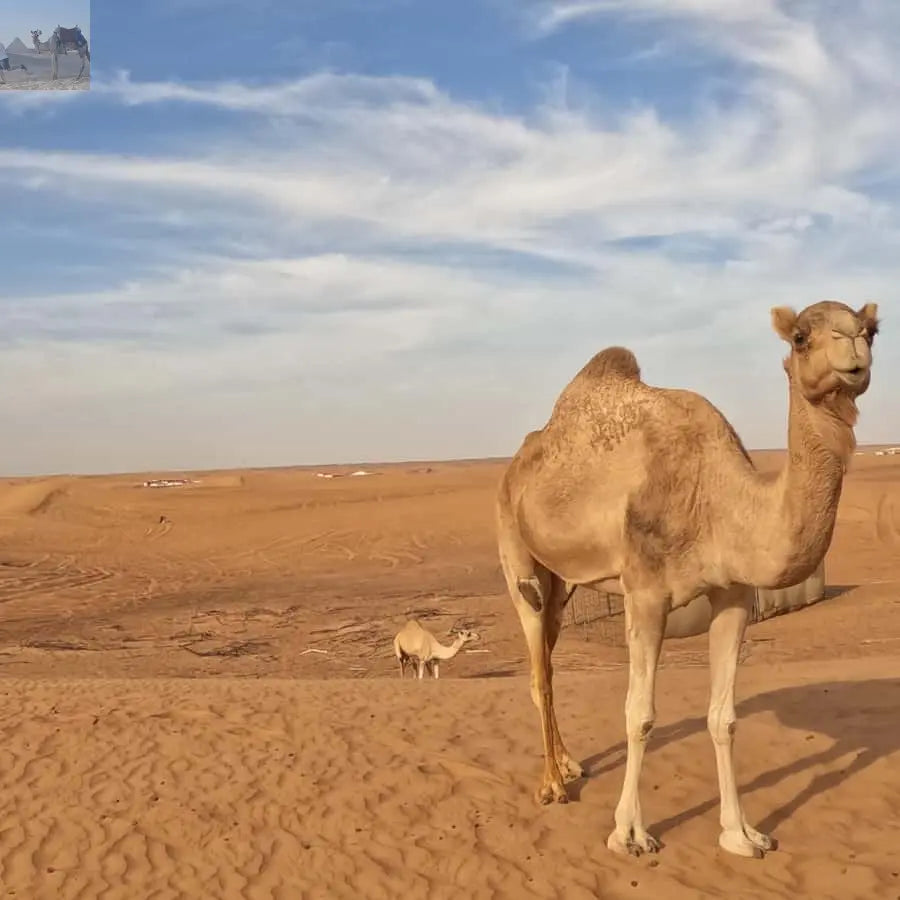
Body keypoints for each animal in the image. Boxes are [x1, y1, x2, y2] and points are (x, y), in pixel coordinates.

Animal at [496, 300, 878, 859]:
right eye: (801, 336)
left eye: (874, 329)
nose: (854, 348)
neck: (720, 500)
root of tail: (518, 461)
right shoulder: (645, 594)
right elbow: (639, 714)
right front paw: (629, 833)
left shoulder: (734, 596)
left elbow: (724, 717)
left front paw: (741, 833)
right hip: (515, 553)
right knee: (538, 668)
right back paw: (552, 786)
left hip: (562, 581)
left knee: (546, 654)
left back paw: (568, 764)